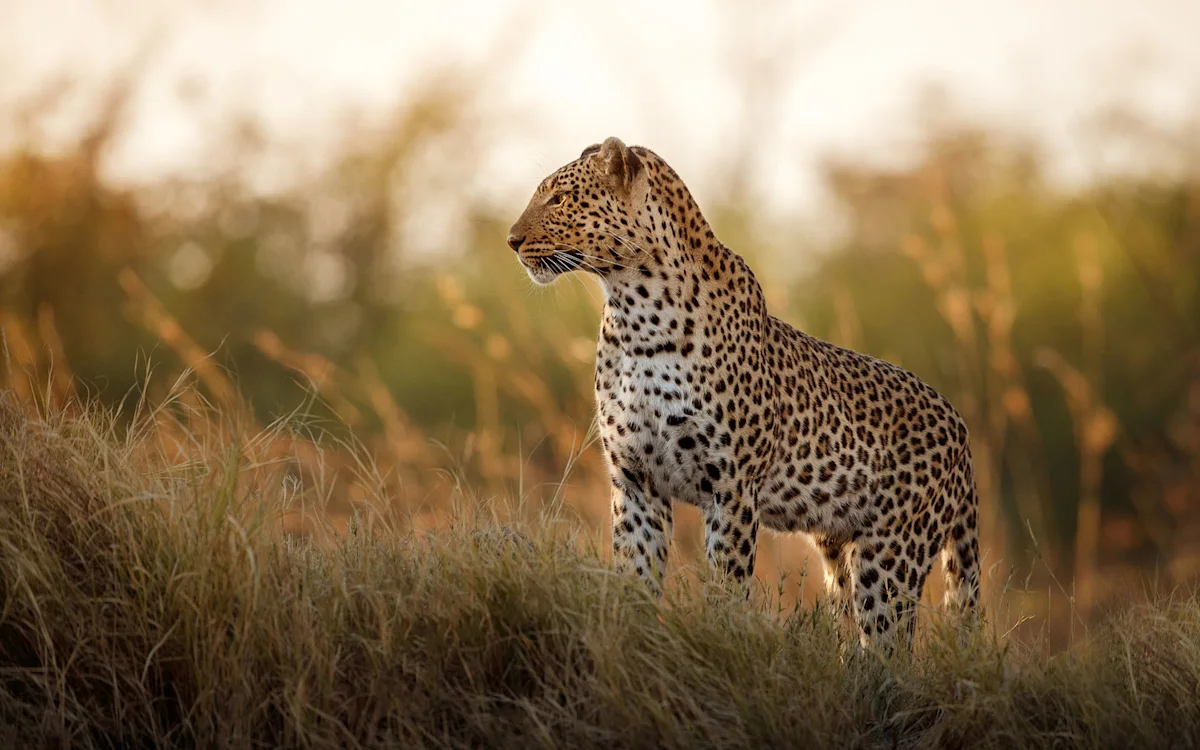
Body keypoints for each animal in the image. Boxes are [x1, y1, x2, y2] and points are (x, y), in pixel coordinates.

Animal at [506, 137, 980, 649]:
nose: (511, 240)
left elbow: (726, 587)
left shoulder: (730, 487)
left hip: (892, 554)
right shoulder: (635, 481)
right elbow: (635, 578)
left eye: (559, 199)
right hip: (839, 550)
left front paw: (718, 640)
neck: (635, 311)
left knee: (888, 646)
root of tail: (959, 426)